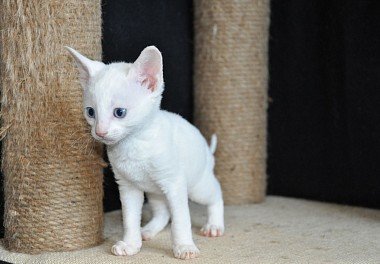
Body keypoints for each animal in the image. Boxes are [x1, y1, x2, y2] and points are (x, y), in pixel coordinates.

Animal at [67, 46, 224, 260]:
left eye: (119, 112)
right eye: (91, 112)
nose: (100, 132)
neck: (133, 145)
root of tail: (207, 150)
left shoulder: (174, 184)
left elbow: (181, 220)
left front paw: (184, 246)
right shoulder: (127, 187)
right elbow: (130, 219)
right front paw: (131, 244)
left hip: (197, 187)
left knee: (216, 193)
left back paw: (214, 225)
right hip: (154, 191)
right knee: (163, 213)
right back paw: (148, 231)